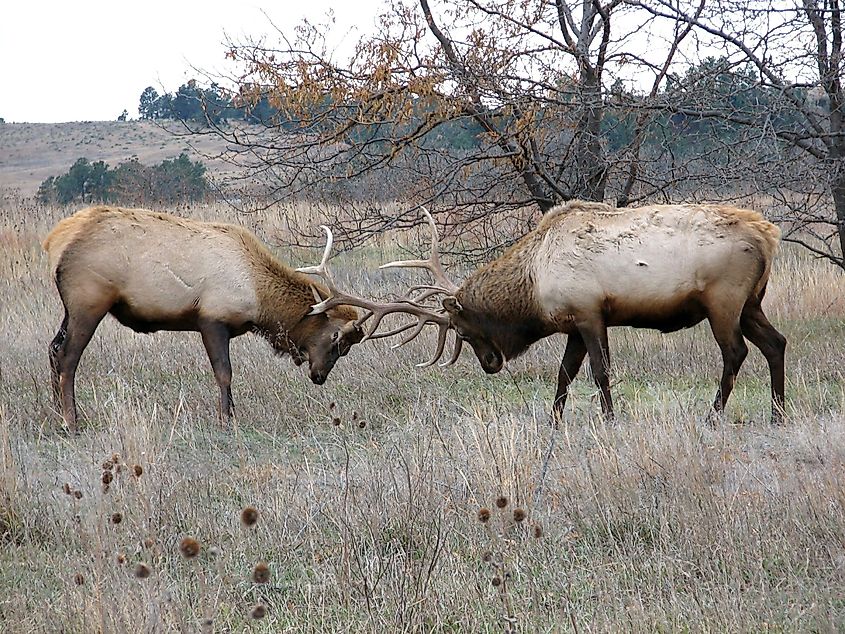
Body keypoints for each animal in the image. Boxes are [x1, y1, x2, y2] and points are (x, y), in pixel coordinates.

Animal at [42, 205, 367, 431]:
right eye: (336, 338)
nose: (319, 376)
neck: (258, 298)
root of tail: (53, 241)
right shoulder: (212, 320)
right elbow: (224, 373)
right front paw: (226, 420)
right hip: (88, 302)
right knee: (68, 357)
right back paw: (71, 422)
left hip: (71, 309)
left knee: (53, 349)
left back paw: (57, 414)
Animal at [300, 200, 787, 424]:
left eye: (463, 329)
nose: (491, 364)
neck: (533, 286)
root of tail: (768, 235)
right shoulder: (572, 323)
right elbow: (564, 375)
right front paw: (555, 420)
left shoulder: (590, 312)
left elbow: (600, 372)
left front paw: (610, 419)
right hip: (751, 302)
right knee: (775, 343)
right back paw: (779, 413)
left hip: (723, 300)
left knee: (736, 352)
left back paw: (713, 415)